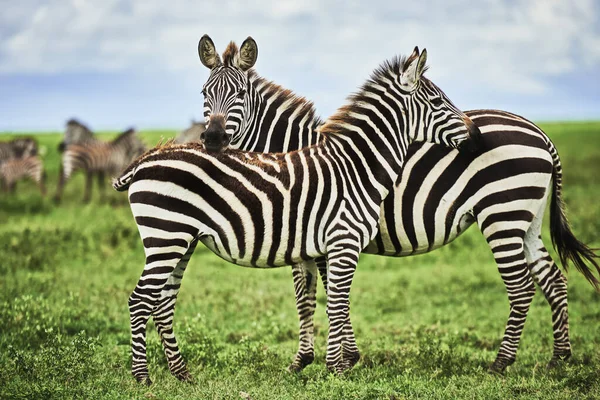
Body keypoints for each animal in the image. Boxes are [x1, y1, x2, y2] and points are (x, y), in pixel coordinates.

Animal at [111, 38, 478, 384]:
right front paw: (337, 368)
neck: (356, 165)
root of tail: (145, 160)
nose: (474, 135)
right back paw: (143, 377)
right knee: (141, 300)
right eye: (437, 102)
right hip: (167, 237)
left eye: (240, 93)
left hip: (179, 241)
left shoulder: (322, 246)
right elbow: (335, 301)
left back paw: (181, 373)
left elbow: (324, 300)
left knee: (162, 301)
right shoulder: (341, 242)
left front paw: (333, 362)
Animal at [198, 37, 600, 376]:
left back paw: (501, 362)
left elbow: (319, 295)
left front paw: (332, 358)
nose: (212, 139)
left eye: (239, 94)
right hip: (525, 218)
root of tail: (540, 133)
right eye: (205, 93)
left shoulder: (317, 233)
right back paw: (559, 359)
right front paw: (321, 359)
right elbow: (312, 296)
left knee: (521, 285)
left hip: (501, 214)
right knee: (552, 279)